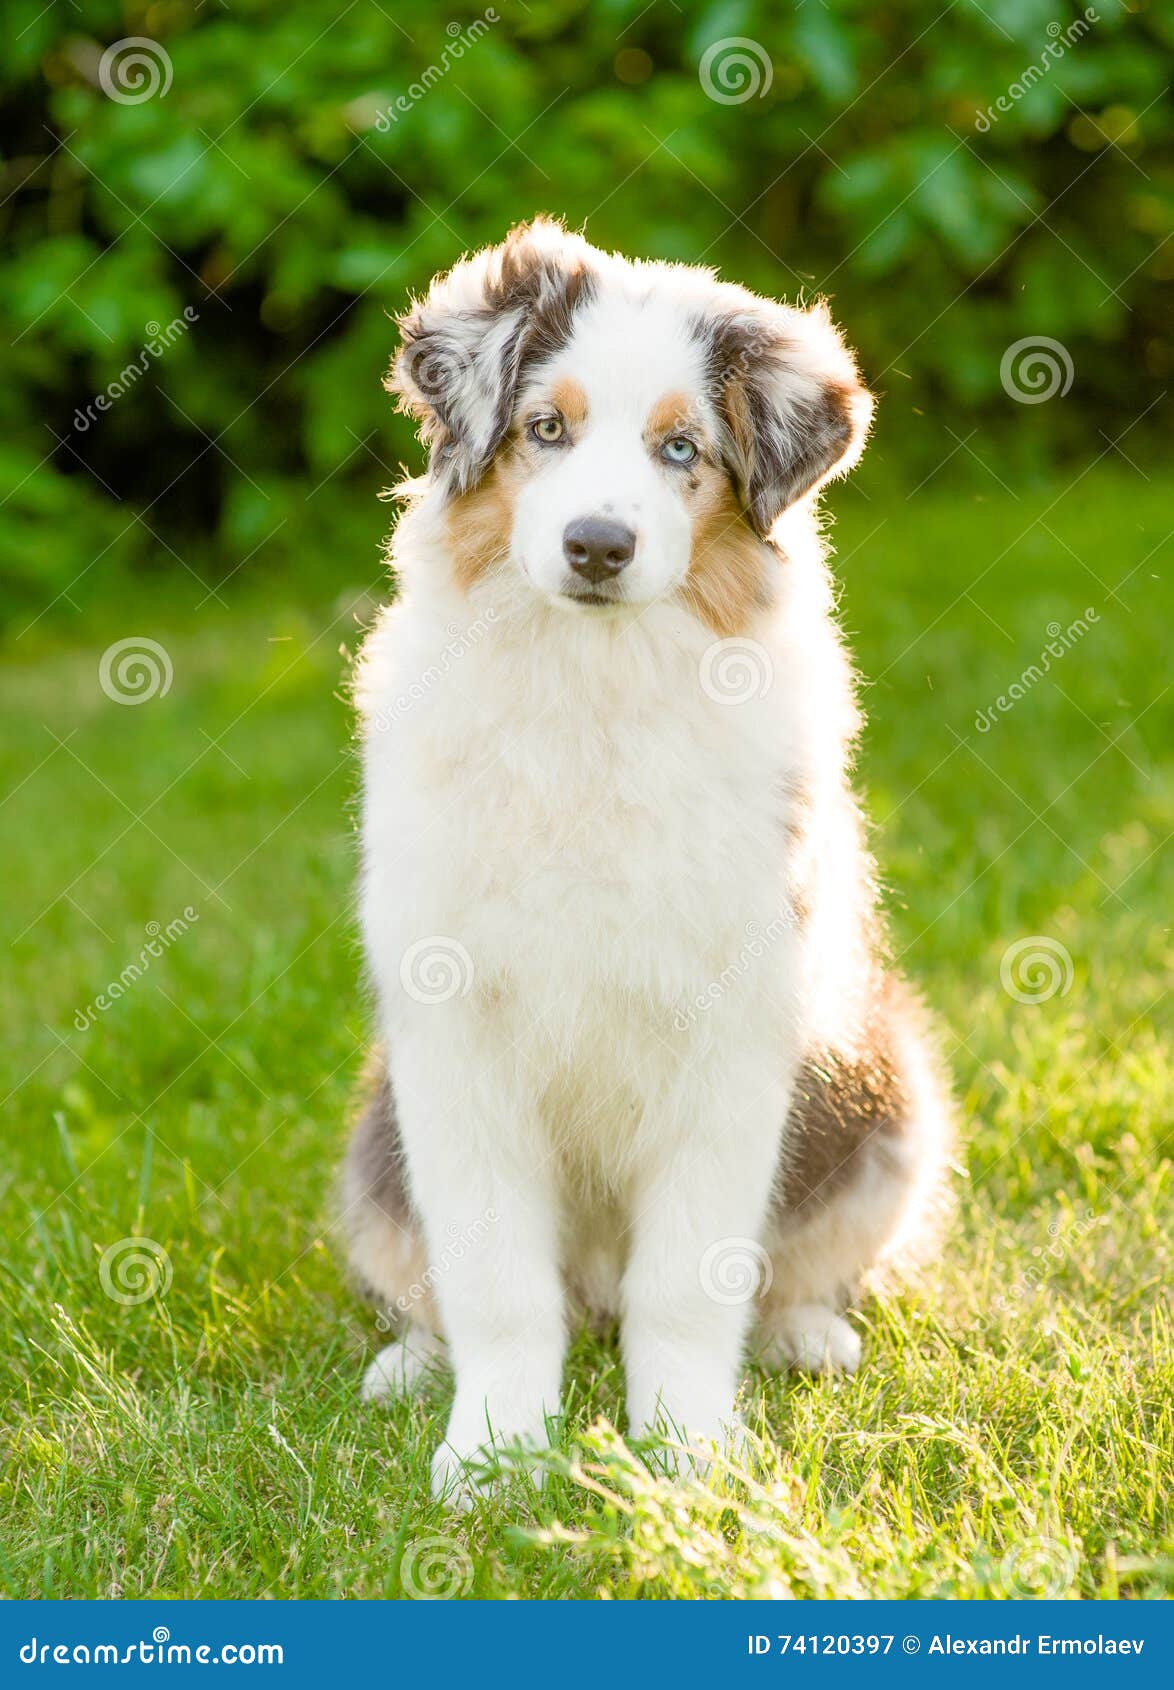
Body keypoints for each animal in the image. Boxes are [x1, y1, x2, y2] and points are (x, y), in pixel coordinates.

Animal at [344, 218, 952, 1500]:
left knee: (783, 1270)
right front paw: (492, 1456)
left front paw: (688, 1458)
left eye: (683, 448)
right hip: (375, 1141)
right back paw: (409, 1363)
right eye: (545, 429)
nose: (597, 545)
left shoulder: (736, 1029)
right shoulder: (453, 1026)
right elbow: (495, 1281)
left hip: (892, 1100)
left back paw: (805, 1335)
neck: (593, 686)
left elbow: (689, 1277)